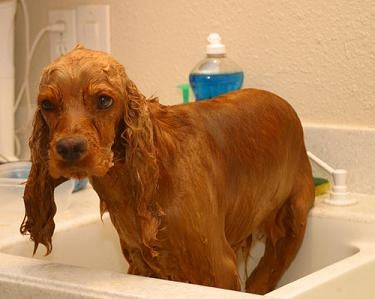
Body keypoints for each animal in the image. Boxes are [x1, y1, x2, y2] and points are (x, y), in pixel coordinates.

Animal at [19, 46, 314, 296]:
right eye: (46, 104)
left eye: (104, 100)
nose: (69, 148)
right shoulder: (142, 263)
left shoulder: (217, 268)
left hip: (292, 221)